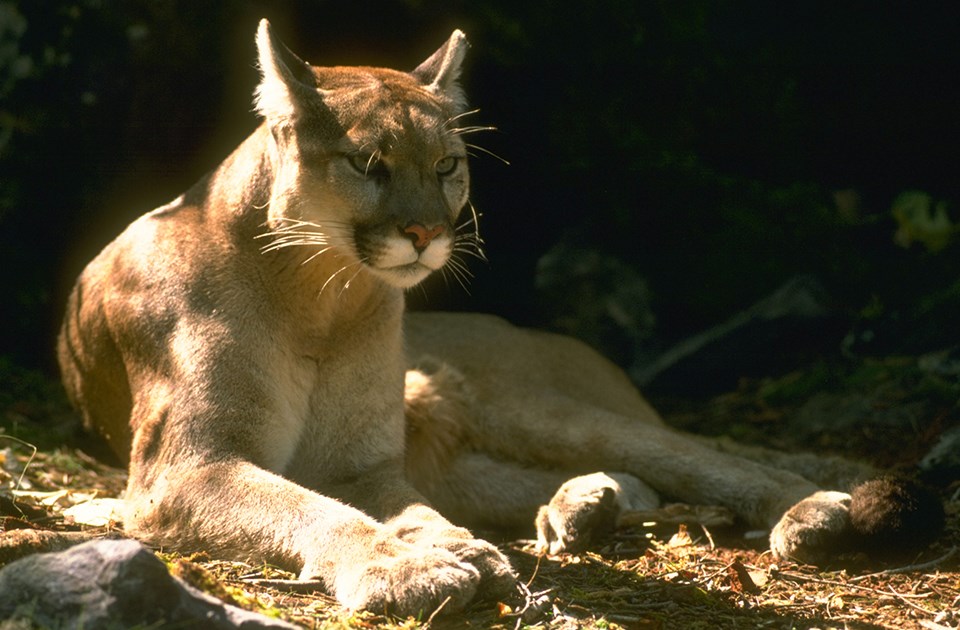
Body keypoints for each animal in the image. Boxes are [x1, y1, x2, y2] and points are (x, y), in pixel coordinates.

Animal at [60, 18, 936, 616]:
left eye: (448, 164)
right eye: (368, 164)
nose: (423, 233)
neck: (322, 294)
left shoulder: (356, 464)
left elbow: (366, 504)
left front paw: (433, 551)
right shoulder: (188, 467)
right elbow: (311, 507)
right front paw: (420, 562)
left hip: (516, 401)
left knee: (701, 457)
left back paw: (807, 511)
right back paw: (581, 512)